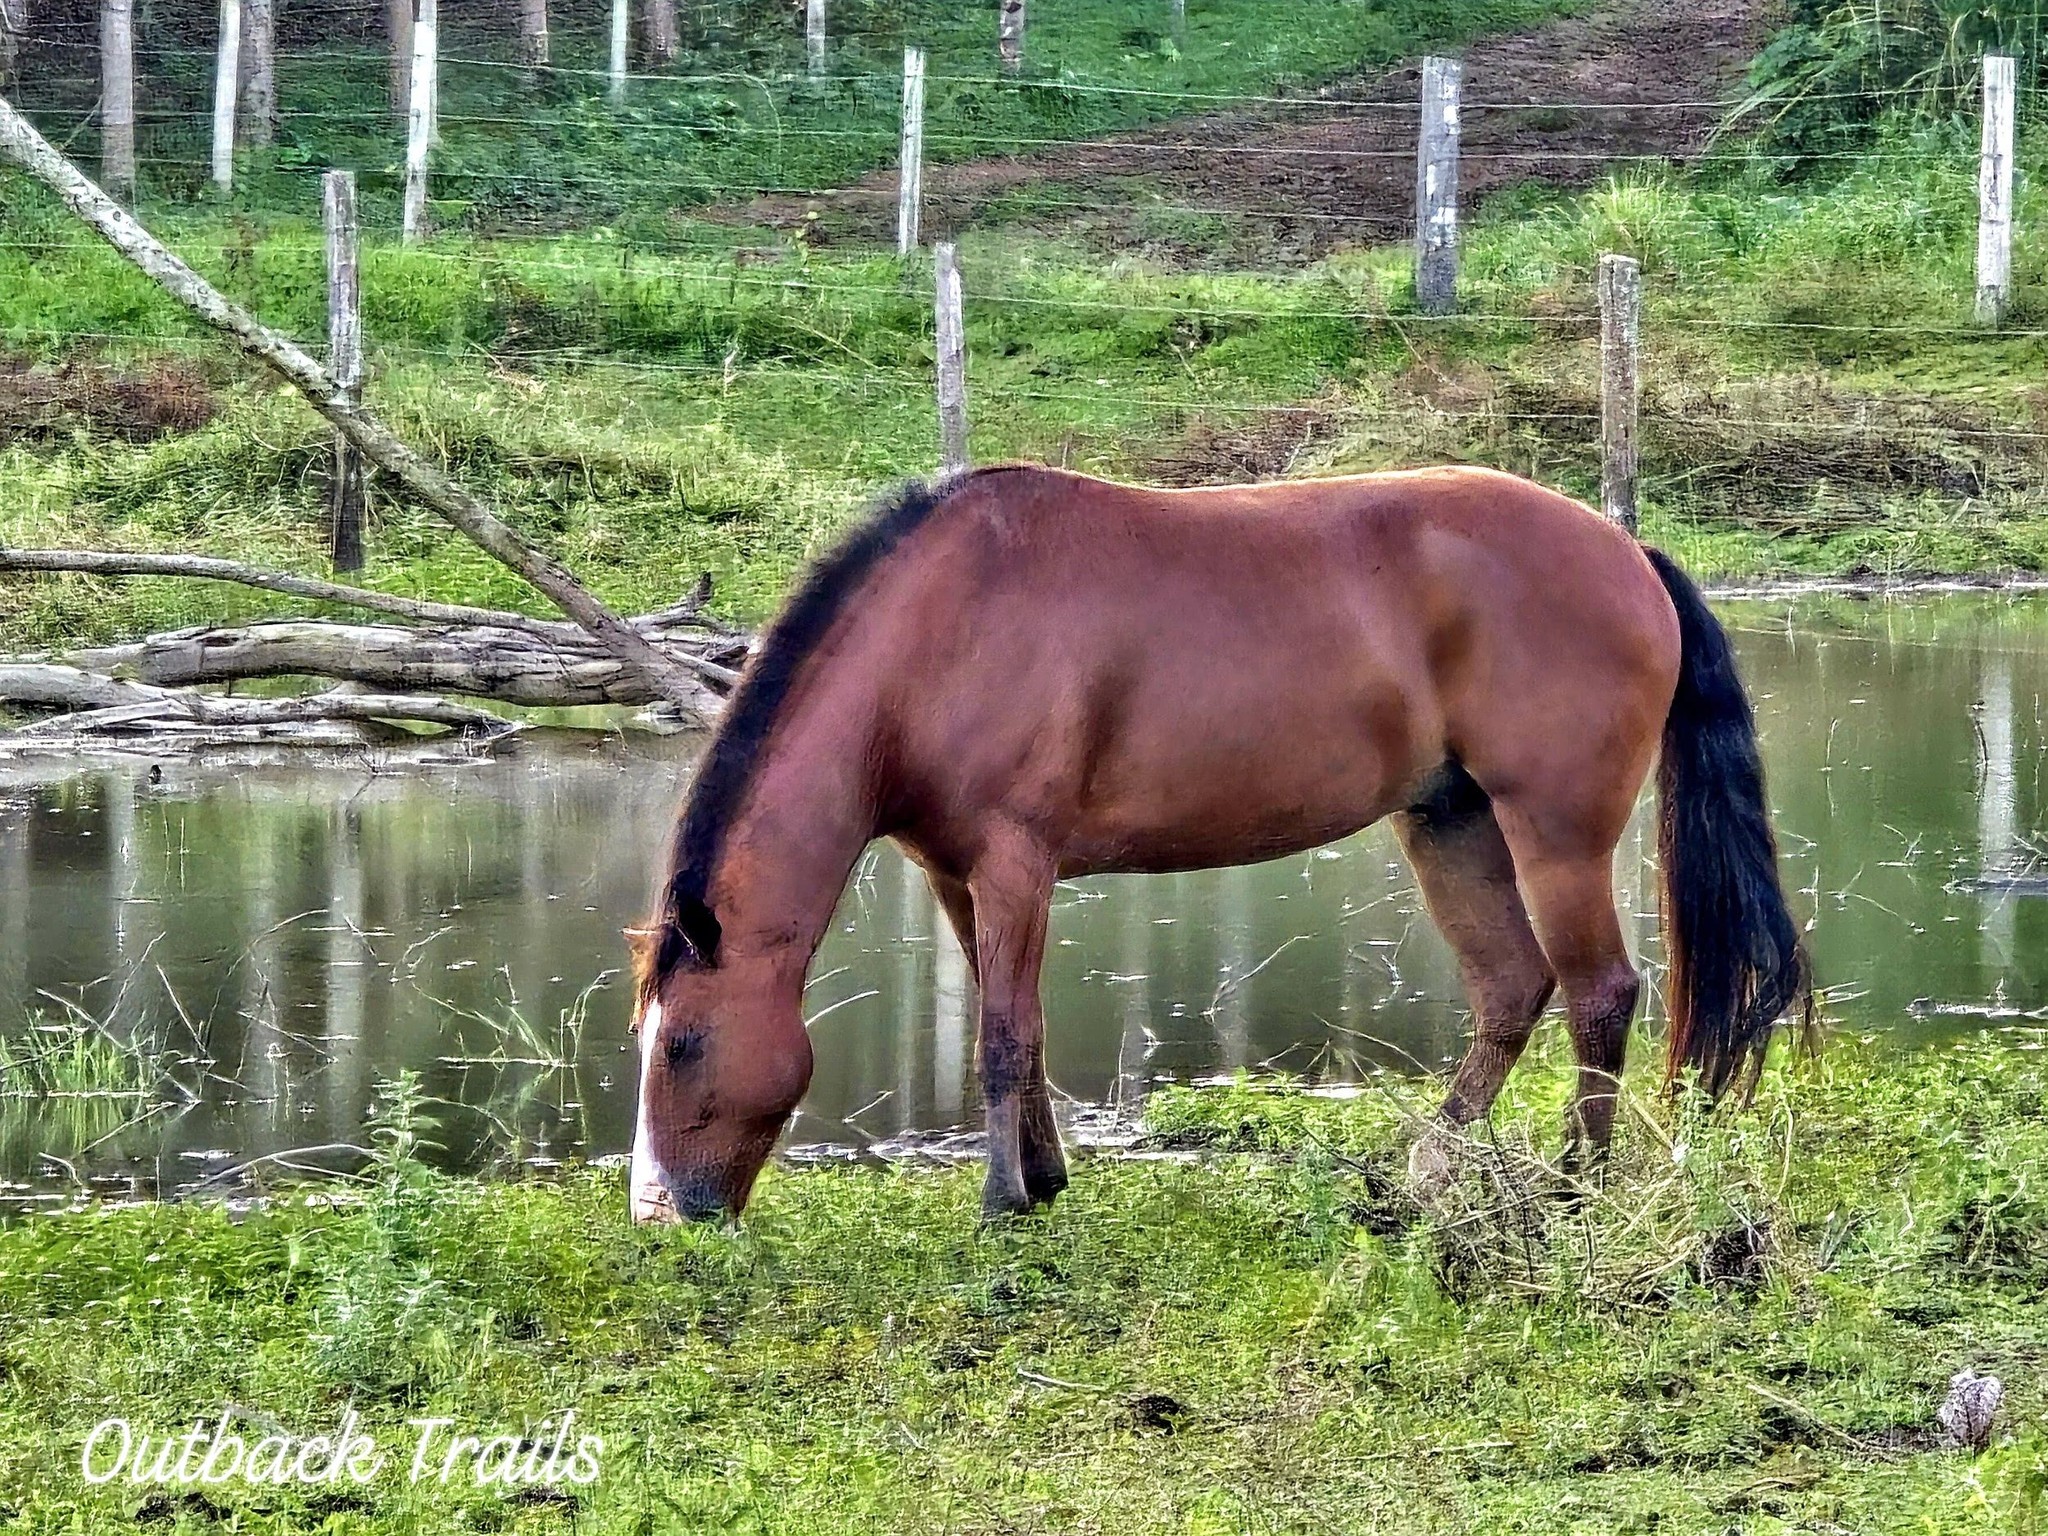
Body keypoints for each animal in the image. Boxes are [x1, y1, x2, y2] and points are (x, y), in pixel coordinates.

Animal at [627, 463, 1811, 1223]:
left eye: (684, 1045)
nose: (664, 1213)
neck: (939, 632)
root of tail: (1626, 552)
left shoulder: (1016, 866)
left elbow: (1003, 1038)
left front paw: (1003, 1204)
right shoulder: (959, 879)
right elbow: (1023, 1032)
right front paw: (1043, 1182)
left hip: (1552, 833)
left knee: (1601, 993)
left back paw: (1575, 1185)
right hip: (1450, 820)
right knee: (1512, 989)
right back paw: (1422, 1174)